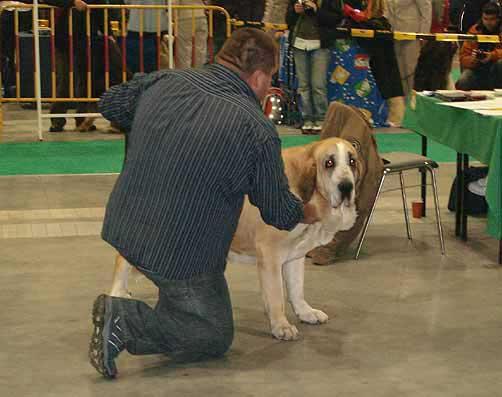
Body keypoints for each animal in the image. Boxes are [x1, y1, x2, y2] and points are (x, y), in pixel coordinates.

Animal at [110, 137, 360, 340]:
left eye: (352, 161)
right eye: (329, 163)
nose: (346, 186)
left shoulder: (295, 255)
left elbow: (296, 288)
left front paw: (306, 312)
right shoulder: (270, 254)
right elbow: (276, 295)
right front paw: (281, 326)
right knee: (122, 262)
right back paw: (117, 294)